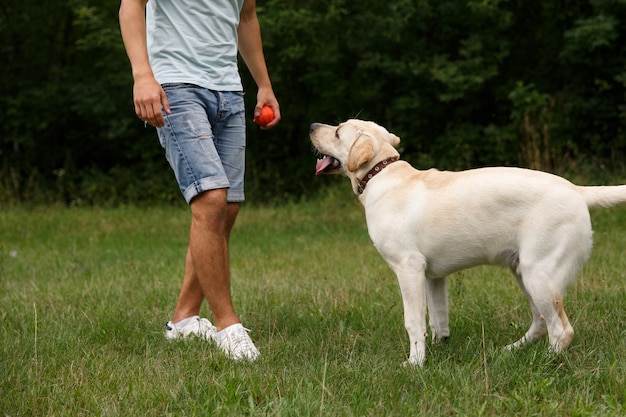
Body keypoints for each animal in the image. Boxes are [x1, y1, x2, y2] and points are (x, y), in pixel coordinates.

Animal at [310, 118, 624, 364]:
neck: (382, 174)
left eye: (338, 131)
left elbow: (413, 321)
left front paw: (415, 363)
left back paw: (544, 361)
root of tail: (577, 190)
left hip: (539, 274)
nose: (312, 126)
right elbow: (437, 319)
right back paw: (511, 351)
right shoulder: (432, 276)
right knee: (541, 323)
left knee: (561, 329)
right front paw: (437, 350)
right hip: (525, 273)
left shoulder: (408, 268)